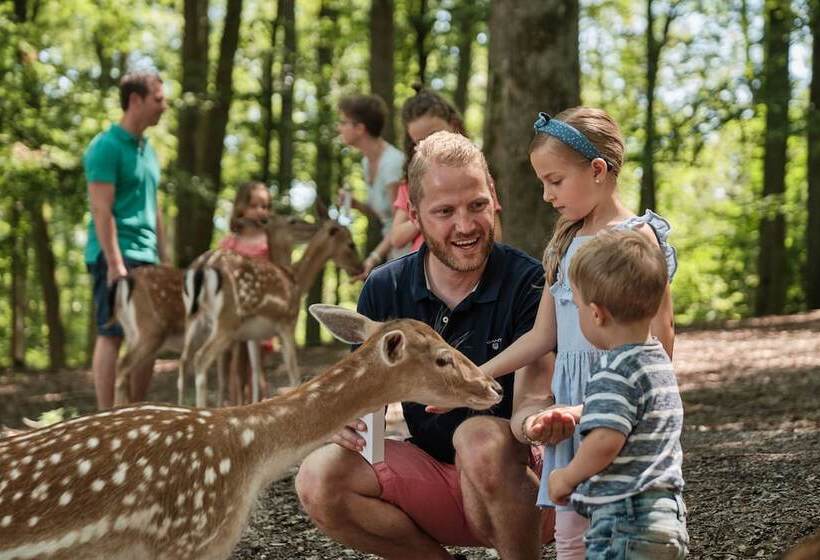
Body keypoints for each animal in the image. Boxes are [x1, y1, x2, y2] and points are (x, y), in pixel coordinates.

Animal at [179, 218, 364, 408]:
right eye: (351, 244)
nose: (360, 268)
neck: (296, 281)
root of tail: (202, 266)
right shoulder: (287, 322)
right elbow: (292, 369)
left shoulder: (252, 335)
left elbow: (255, 372)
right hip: (228, 320)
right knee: (201, 358)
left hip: (193, 319)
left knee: (184, 361)